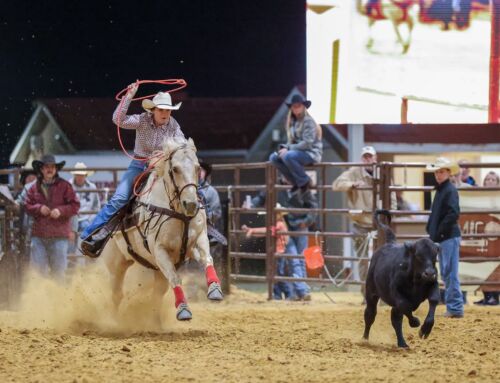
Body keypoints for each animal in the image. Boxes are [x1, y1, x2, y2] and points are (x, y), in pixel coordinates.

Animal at [99, 138, 223, 324]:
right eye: (175, 169)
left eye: (197, 168)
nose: (191, 204)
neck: (179, 213)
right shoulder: (160, 250)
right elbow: (175, 278)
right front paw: (183, 311)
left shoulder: (198, 239)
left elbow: (207, 259)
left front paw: (215, 290)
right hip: (116, 265)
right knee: (117, 295)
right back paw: (113, 321)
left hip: (156, 270)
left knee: (156, 294)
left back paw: (155, 320)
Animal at [362, 210, 440, 348]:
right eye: (418, 255)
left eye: (435, 255)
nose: (430, 273)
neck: (416, 279)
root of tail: (389, 243)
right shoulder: (396, 293)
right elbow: (405, 305)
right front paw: (415, 322)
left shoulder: (433, 284)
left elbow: (434, 300)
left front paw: (425, 329)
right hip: (371, 293)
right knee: (370, 314)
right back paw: (365, 339)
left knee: (395, 319)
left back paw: (402, 343)